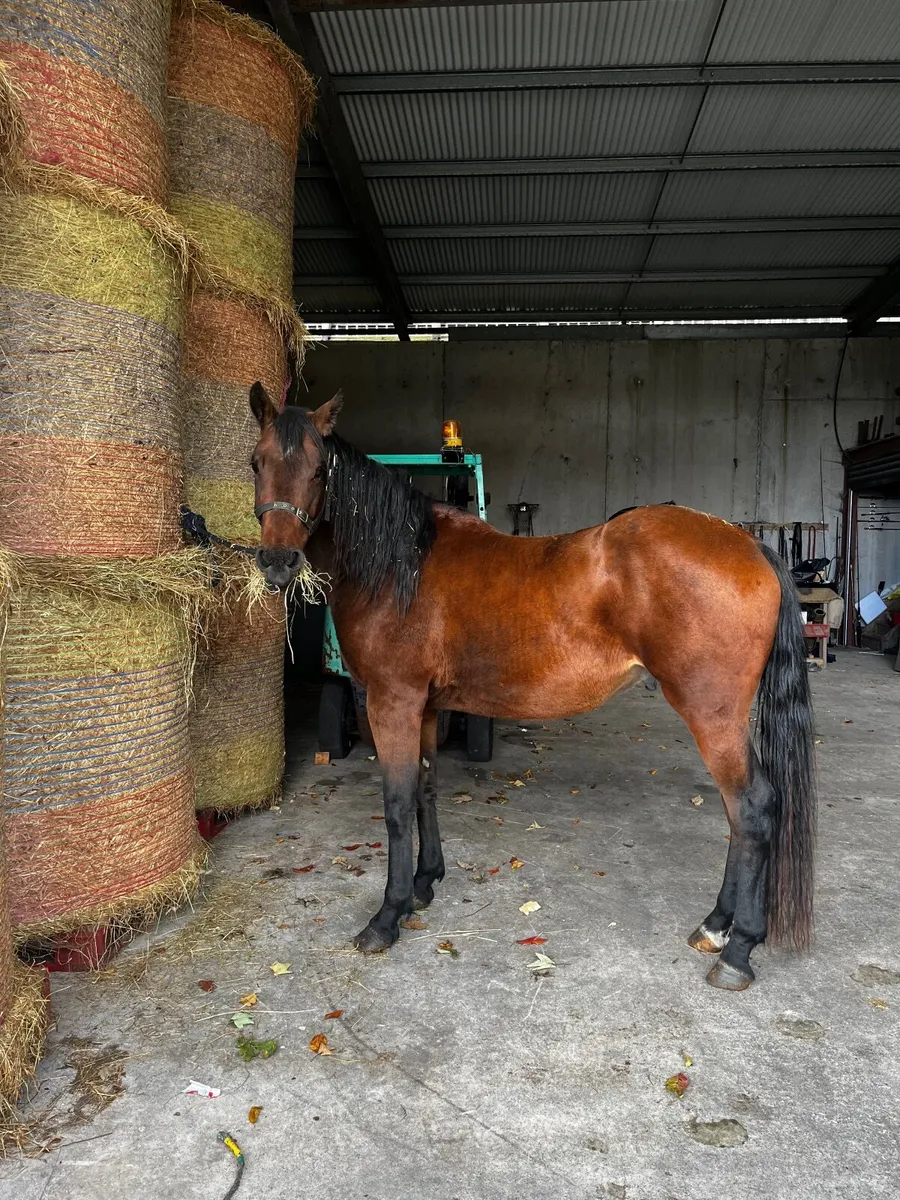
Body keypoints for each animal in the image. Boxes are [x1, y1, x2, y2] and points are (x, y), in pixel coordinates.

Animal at [249, 383, 816, 992]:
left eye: (318, 469)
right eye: (256, 462)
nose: (277, 563)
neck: (402, 567)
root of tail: (748, 544)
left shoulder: (392, 702)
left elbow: (397, 804)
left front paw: (387, 916)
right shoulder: (424, 707)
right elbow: (425, 791)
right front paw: (424, 885)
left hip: (711, 714)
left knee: (751, 810)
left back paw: (737, 950)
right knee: (739, 815)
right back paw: (715, 926)